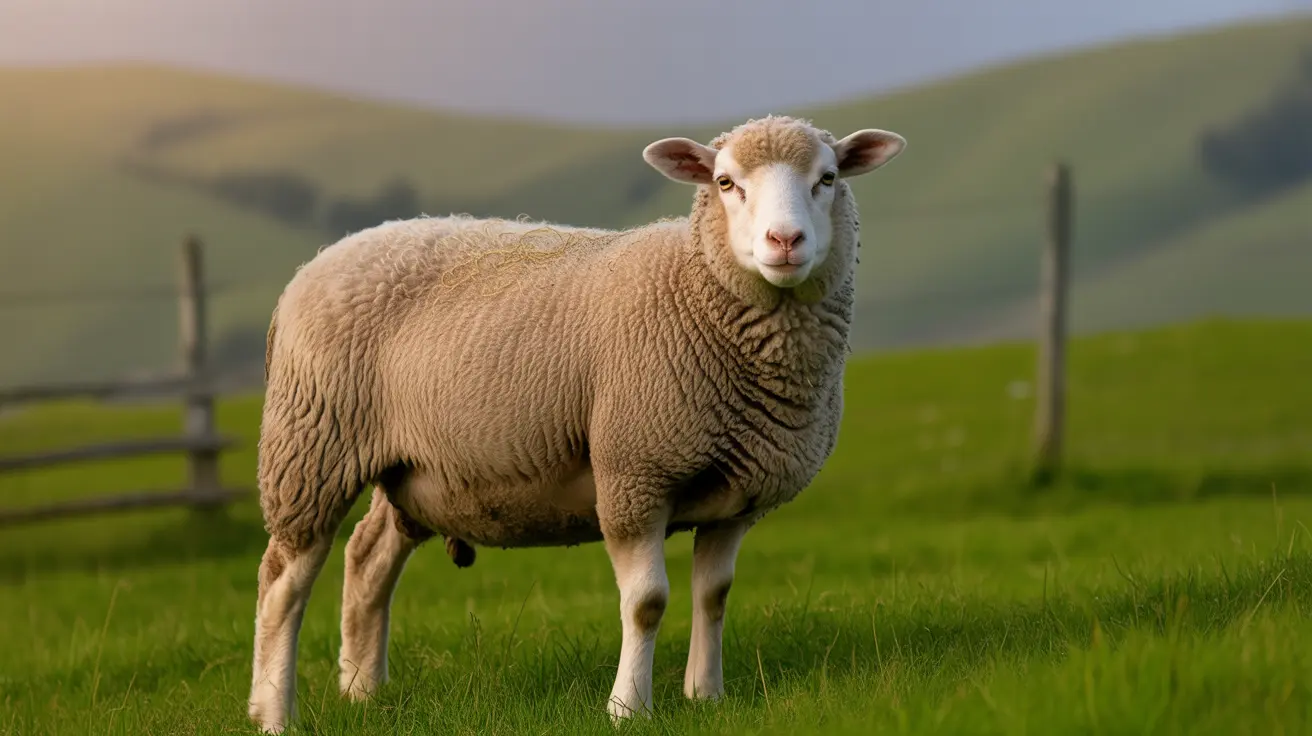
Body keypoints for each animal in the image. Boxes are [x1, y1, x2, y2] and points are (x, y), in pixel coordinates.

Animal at [246, 114, 906, 733]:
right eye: (725, 183)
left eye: (828, 178)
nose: (785, 239)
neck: (696, 293)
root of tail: (323, 259)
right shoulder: (633, 474)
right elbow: (647, 603)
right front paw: (627, 708)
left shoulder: (736, 497)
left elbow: (713, 596)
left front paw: (706, 697)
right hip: (311, 444)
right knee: (282, 583)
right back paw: (274, 712)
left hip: (410, 470)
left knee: (367, 559)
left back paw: (363, 693)